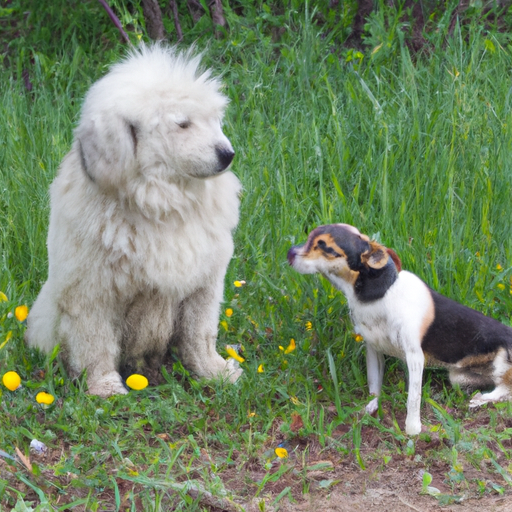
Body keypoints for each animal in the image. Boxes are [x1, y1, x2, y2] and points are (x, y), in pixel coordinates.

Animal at [23, 45, 240, 396]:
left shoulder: (203, 285)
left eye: (214, 121)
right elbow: (95, 343)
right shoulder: (91, 293)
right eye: (183, 124)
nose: (227, 154)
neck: (163, 204)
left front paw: (215, 373)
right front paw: (105, 388)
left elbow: (200, 335)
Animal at [288, 222, 512, 434]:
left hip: (501, 362)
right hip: (459, 377)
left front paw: (412, 431)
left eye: (325, 247)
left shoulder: (414, 357)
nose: (290, 252)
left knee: (505, 390)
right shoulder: (373, 350)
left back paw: (482, 399)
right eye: (309, 238)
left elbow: (413, 399)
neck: (379, 295)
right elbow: (374, 385)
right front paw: (371, 407)